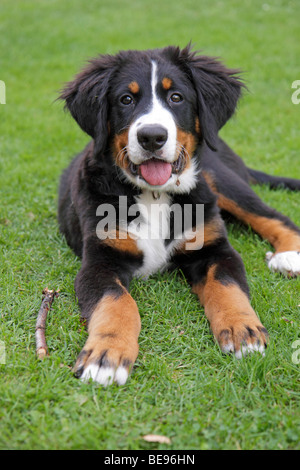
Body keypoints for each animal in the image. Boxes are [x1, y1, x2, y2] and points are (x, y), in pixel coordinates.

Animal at [58, 45, 300, 386]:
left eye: (176, 97)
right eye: (126, 99)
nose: (152, 136)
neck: (154, 195)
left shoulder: (214, 249)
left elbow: (227, 287)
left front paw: (243, 330)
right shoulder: (100, 261)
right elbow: (116, 303)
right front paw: (106, 354)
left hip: (221, 179)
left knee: (273, 216)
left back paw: (289, 256)